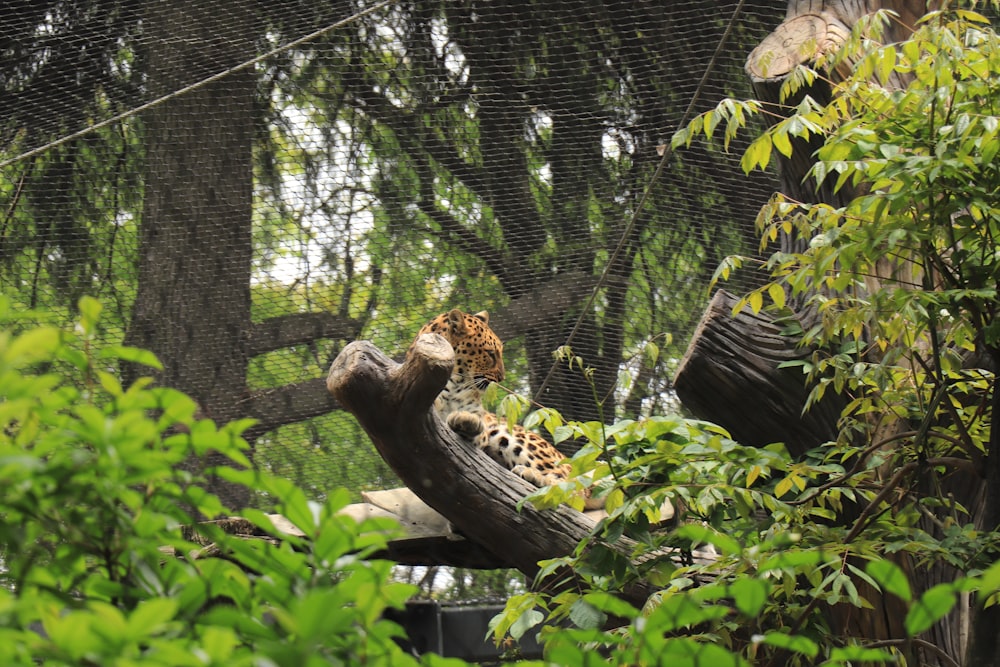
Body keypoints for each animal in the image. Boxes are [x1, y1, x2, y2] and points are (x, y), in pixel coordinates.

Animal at [416, 310, 580, 490]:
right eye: (490, 353)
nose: (502, 378)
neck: (454, 385)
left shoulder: (482, 428)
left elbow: (476, 427)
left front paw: (466, 420)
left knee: (572, 484)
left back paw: (532, 474)